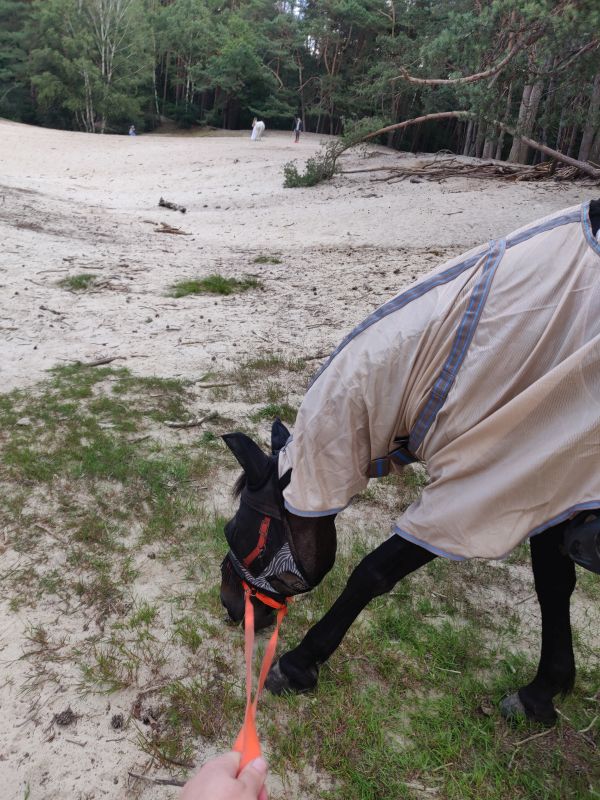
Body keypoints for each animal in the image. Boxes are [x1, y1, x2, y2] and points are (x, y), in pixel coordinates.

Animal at [220, 200, 600, 727]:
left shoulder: (493, 476)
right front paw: (542, 691)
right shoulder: (549, 480)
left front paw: (298, 664)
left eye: (239, 535)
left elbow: (373, 572)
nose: (228, 604)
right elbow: (554, 583)